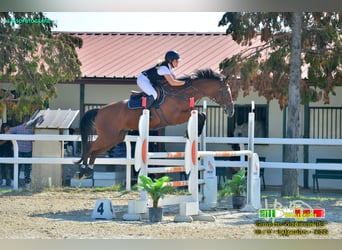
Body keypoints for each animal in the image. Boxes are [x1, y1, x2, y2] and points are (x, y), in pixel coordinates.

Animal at [76, 67, 234, 179]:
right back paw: (81, 171)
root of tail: (100, 110)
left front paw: (191, 132)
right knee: (90, 148)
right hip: (107, 136)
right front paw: (189, 132)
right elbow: (200, 114)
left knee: (95, 151)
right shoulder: (174, 117)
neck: (181, 94)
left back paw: (87, 171)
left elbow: (201, 114)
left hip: (115, 137)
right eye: (226, 92)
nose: (231, 111)